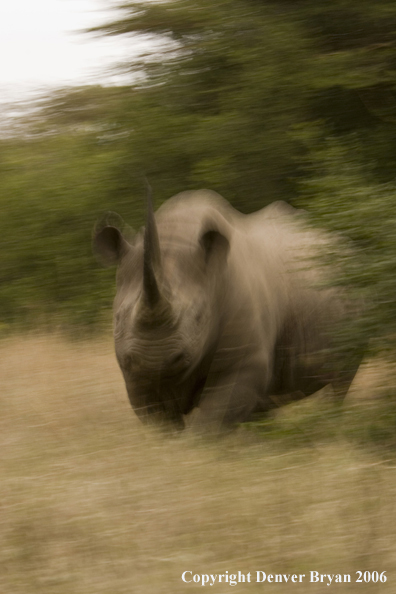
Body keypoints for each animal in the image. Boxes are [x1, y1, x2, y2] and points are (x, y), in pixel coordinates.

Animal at [94, 188, 360, 430]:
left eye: (199, 318)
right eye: (117, 318)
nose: (154, 360)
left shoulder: (244, 360)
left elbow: (212, 421)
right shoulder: (133, 370)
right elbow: (159, 421)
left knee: (341, 378)